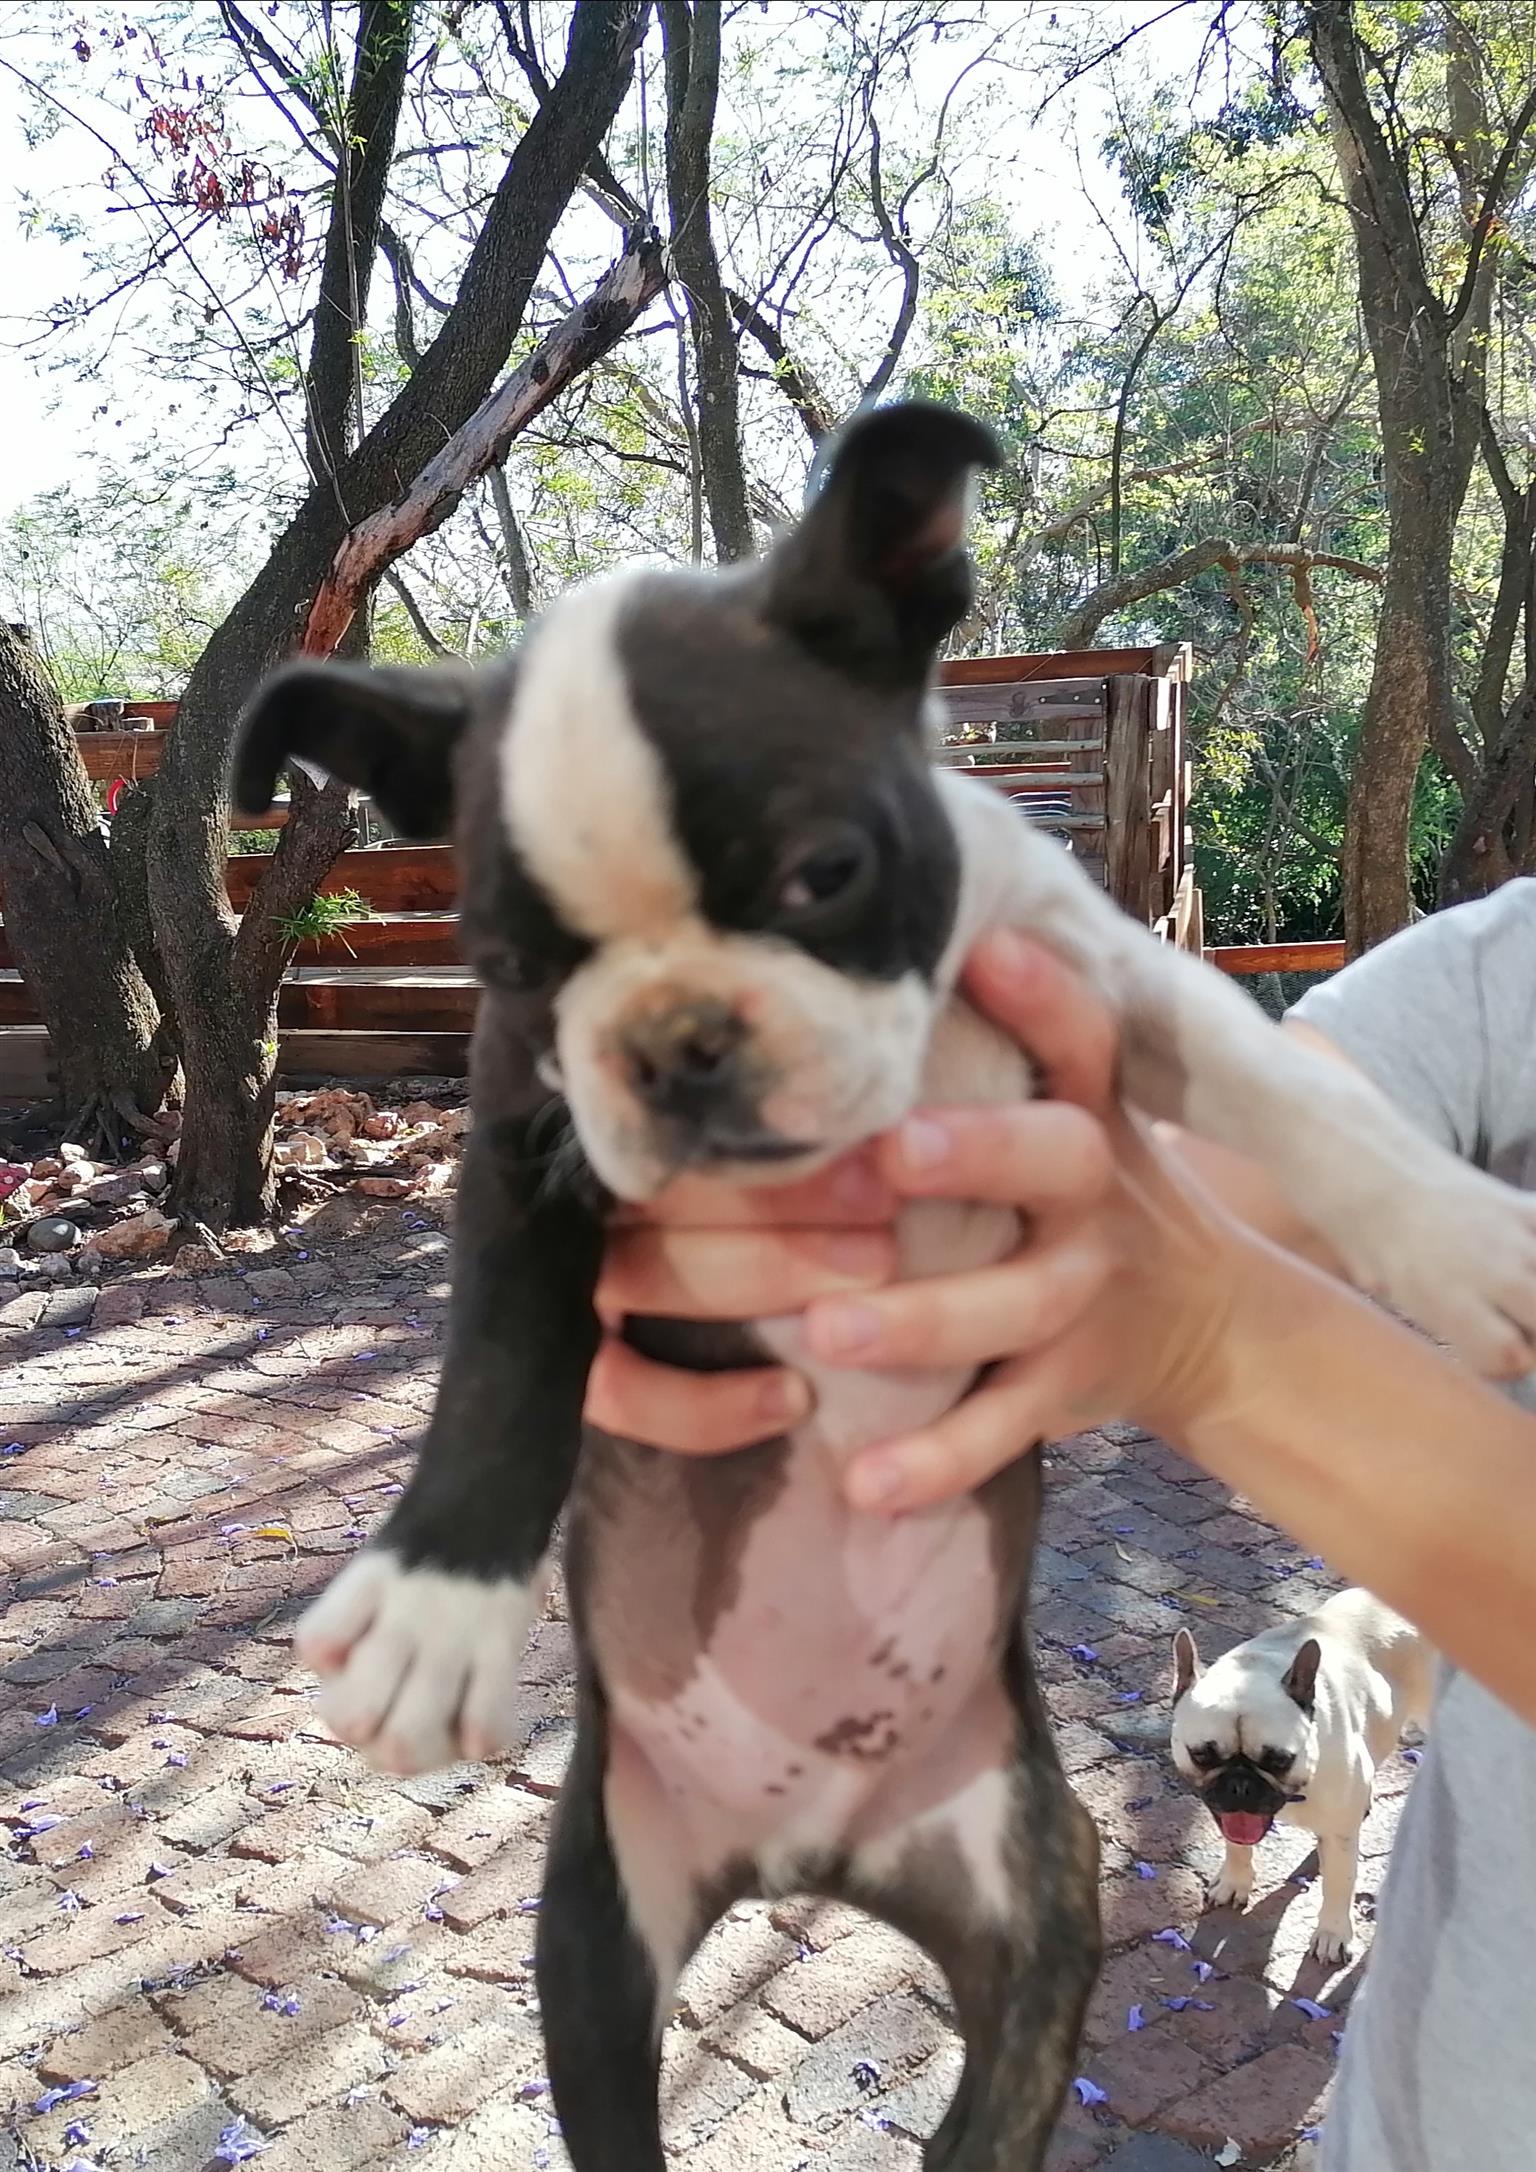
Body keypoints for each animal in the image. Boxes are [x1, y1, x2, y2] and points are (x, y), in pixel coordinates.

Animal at [1171, 1592, 1435, 1964]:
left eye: (1280, 1759)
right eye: (1202, 1755)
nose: (1240, 1785)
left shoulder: (1339, 1837)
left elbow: (1338, 1884)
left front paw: (1333, 1932)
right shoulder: (1232, 1817)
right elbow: (1237, 1845)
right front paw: (1235, 1880)